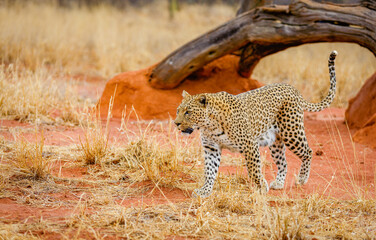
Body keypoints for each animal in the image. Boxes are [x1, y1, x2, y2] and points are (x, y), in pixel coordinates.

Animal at [174, 50, 338, 197]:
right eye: (178, 111)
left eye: (188, 112)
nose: (176, 123)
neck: (209, 125)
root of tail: (293, 89)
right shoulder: (211, 148)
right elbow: (209, 171)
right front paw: (204, 191)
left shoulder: (249, 145)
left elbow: (254, 170)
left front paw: (262, 187)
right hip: (276, 142)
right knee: (283, 162)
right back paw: (279, 183)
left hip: (291, 132)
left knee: (308, 152)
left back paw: (302, 179)